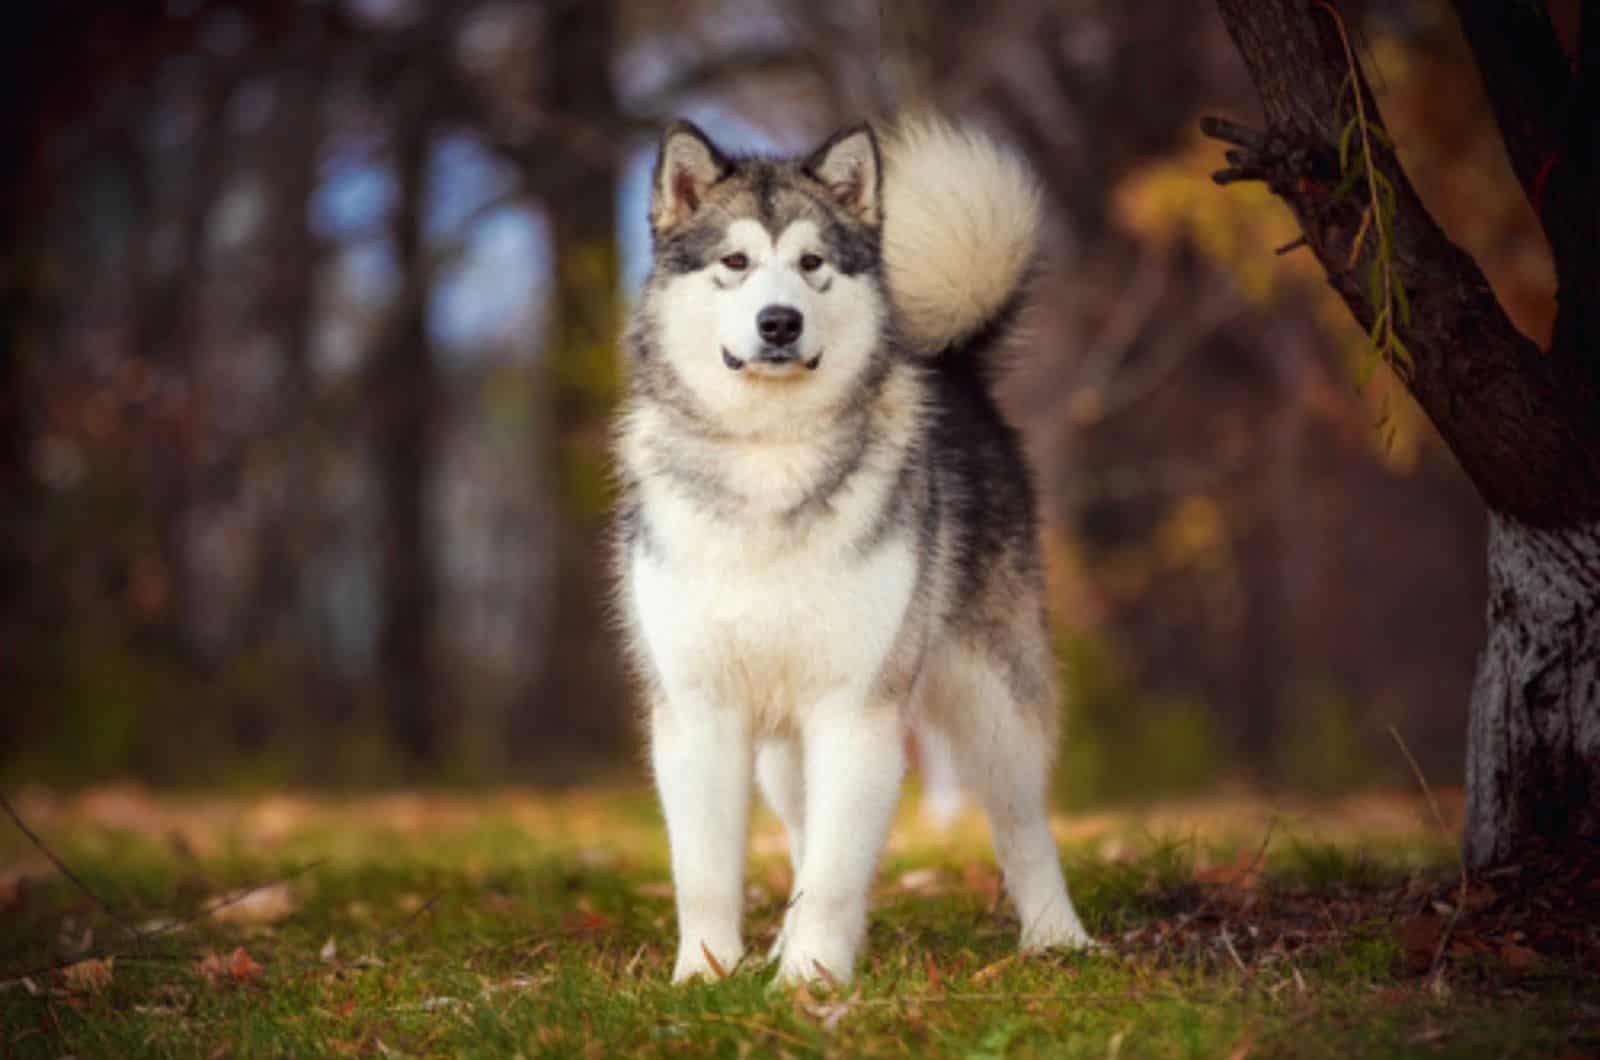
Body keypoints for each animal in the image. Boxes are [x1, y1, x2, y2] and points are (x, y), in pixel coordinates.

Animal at [614, 116, 1100, 986]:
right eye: (734, 262)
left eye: (813, 263)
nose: (780, 322)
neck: (769, 458)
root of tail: (955, 365)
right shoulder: (699, 711)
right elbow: (706, 870)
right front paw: (706, 976)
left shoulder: (857, 709)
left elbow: (839, 869)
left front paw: (809, 981)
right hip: (784, 745)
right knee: (804, 826)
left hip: (991, 698)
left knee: (1020, 822)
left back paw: (1057, 936)